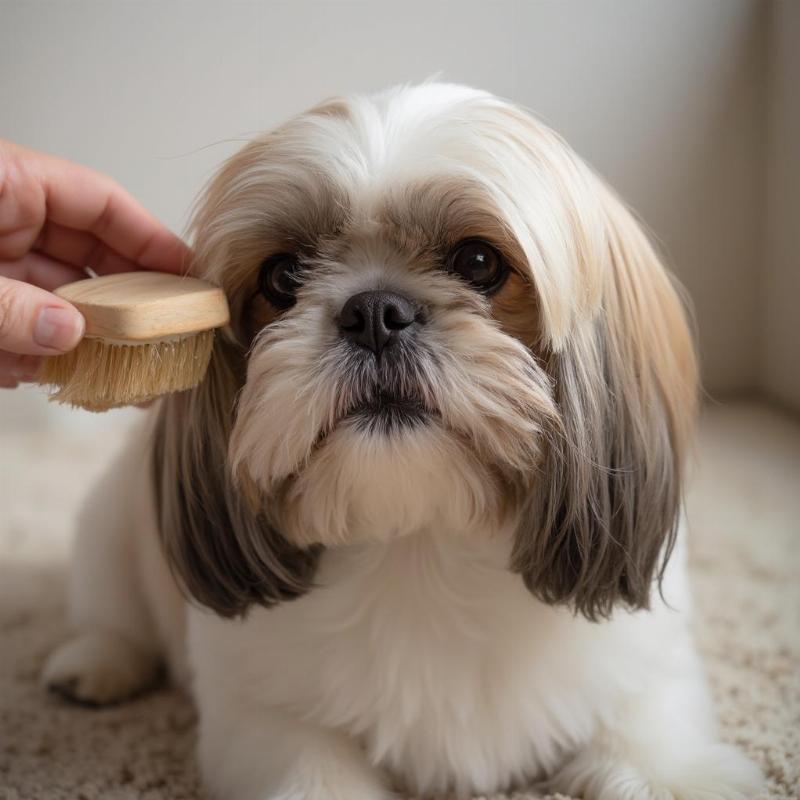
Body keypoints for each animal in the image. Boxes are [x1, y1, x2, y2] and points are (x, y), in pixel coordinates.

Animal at [42, 84, 764, 796]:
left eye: (479, 261)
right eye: (283, 277)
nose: (374, 312)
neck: (421, 541)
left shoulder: (648, 673)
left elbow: (650, 742)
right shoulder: (264, 721)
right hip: (109, 529)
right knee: (114, 616)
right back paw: (95, 665)